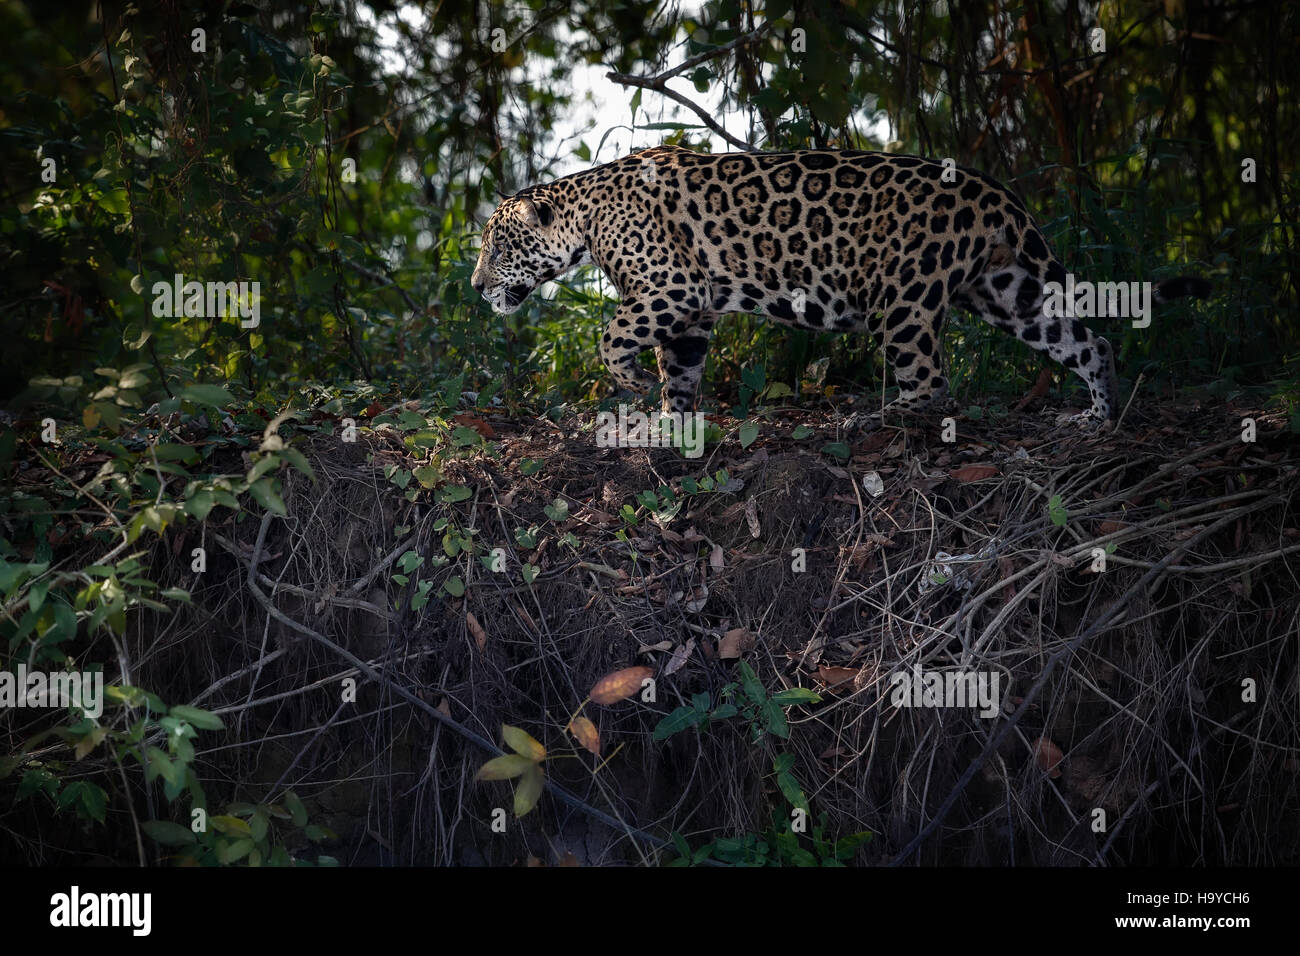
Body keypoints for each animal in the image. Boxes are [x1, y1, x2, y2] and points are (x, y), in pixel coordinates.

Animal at [471, 144, 1208, 430]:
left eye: (496, 246)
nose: (477, 287)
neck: (586, 214)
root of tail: (993, 189)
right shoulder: (691, 312)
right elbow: (678, 368)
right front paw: (672, 419)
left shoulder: (674, 287)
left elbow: (613, 332)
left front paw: (623, 380)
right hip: (1008, 292)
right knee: (1087, 342)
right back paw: (1097, 415)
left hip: (901, 302)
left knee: (931, 384)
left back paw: (875, 417)